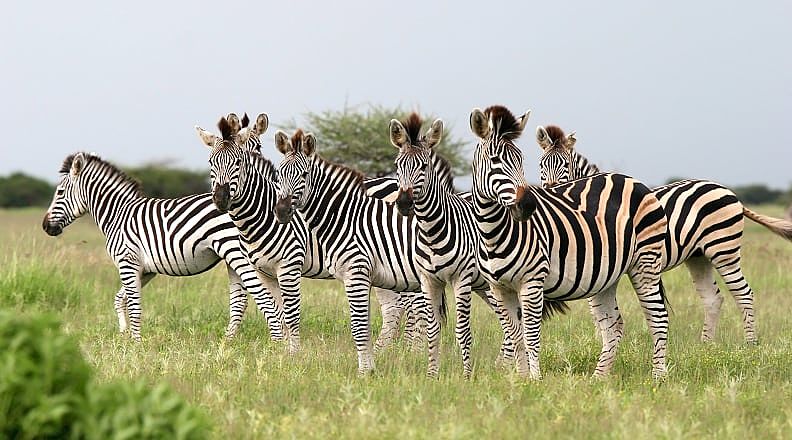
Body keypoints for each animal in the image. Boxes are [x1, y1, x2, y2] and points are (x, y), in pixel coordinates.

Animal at [42, 153, 284, 342]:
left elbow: (134, 306)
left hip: (239, 255)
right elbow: (120, 299)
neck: (117, 214)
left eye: (60, 192)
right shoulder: (145, 270)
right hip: (233, 258)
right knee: (240, 302)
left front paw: (136, 345)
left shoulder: (127, 263)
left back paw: (274, 344)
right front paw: (123, 333)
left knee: (263, 298)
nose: (45, 227)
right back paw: (228, 343)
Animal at [196, 114, 412, 354]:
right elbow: (278, 312)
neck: (261, 212)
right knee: (394, 307)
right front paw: (281, 351)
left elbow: (290, 315)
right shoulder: (264, 270)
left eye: (238, 162)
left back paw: (407, 350)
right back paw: (385, 351)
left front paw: (293, 354)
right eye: (210, 163)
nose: (221, 199)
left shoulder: (289, 265)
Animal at [388, 112, 564, 374]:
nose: (403, 204)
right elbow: (432, 331)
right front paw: (432, 375)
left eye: (424, 166)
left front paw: (466, 375)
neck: (432, 230)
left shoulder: (461, 279)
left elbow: (463, 331)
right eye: (398, 166)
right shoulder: (428, 280)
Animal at [474, 105, 672, 380]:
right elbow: (515, 337)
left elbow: (531, 336)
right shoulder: (499, 288)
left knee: (658, 318)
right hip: (607, 276)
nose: (528, 206)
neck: (492, 231)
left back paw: (658, 378)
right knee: (613, 325)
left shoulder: (532, 282)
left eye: (521, 160)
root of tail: (634, 181)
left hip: (646, 262)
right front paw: (521, 380)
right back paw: (599, 379)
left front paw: (535, 380)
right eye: (495, 161)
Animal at [532, 124, 792, 344]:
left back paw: (750, 345)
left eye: (565, 166)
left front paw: (600, 341)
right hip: (698, 256)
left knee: (744, 293)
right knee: (713, 297)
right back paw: (706, 347)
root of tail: (726, 190)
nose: (551, 189)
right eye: (541, 165)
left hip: (723, 249)